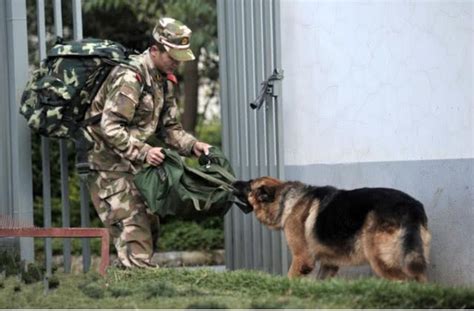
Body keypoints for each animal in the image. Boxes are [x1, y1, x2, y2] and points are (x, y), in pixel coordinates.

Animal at [231, 178, 432, 282]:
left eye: (248, 185)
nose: (233, 182)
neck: (286, 200)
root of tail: (410, 207)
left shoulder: (302, 259)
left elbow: (289, 278)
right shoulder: (329, 263)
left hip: (380, 260)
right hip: (413, 259)